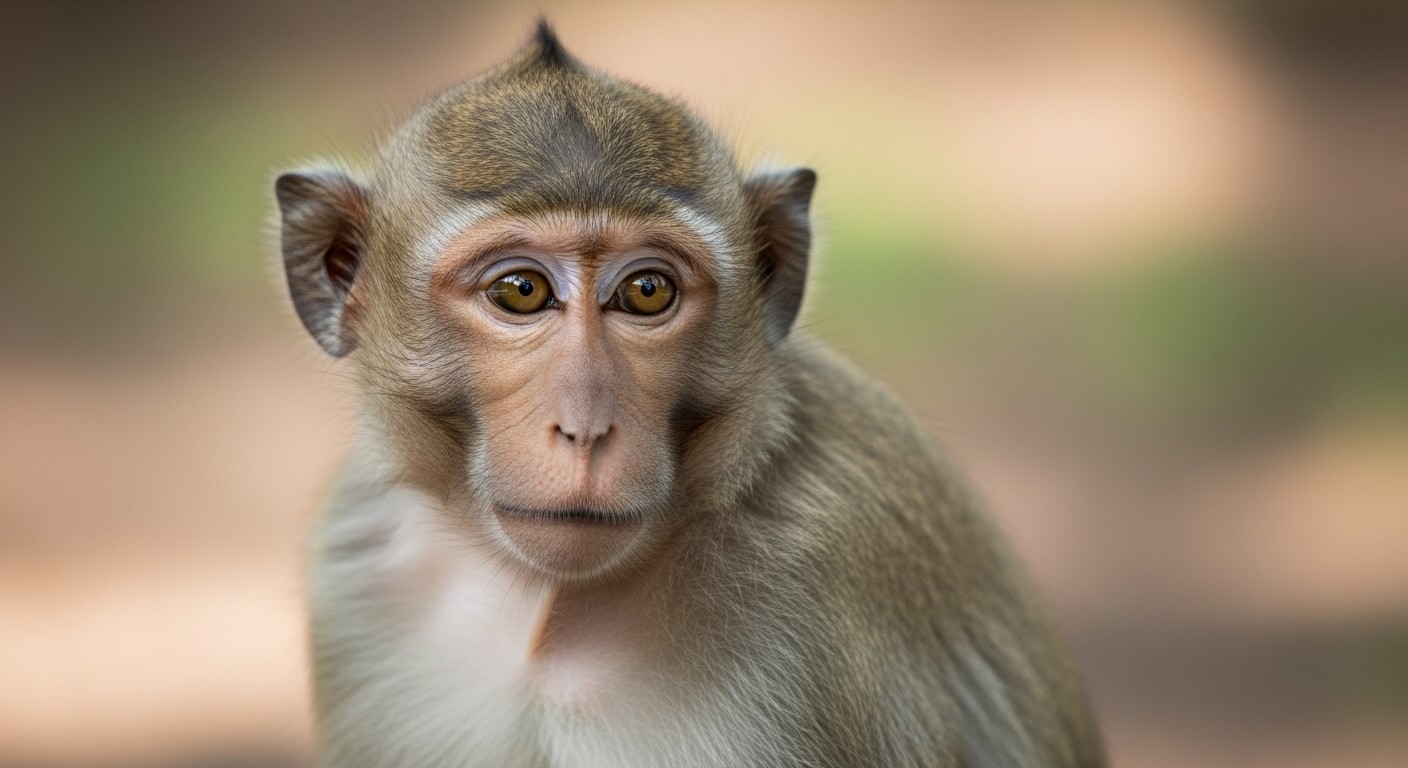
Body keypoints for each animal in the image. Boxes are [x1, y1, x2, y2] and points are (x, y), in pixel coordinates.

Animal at [274, 22, 1105, 768]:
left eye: (647, 292)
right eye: (520, 290)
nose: (585, 427)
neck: (549, 609)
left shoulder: (814, 611)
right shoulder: (357, 573)